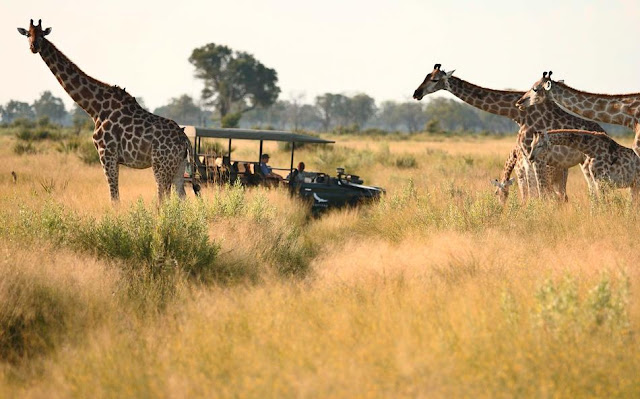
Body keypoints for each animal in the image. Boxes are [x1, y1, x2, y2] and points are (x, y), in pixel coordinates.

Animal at [18, 19, 194, 202]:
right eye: (28, 34)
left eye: (42, 35)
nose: (34, 46)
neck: (95, 108)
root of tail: (185, 140)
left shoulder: (106, 153)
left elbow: (114, 197)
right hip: (178, 167)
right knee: (181, 197)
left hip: (161, 165)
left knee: (163, 198)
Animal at [412, 64, 608, 205]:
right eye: (425, 76)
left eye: (435, 79)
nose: (416, 93)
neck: (517, 115)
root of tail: (606, 133)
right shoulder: (528, 159)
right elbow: (532, 196)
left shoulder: (534, 158)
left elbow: (539, 195)